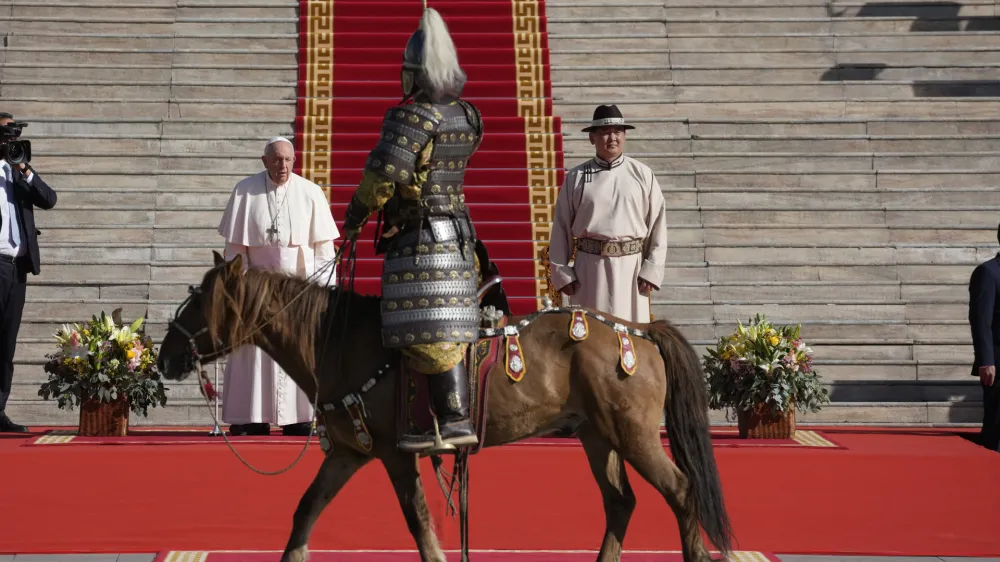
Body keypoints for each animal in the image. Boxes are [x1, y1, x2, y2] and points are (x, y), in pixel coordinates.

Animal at [156, 252, 736, 560]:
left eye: (198, 302)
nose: (166, 354)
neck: (340, 340)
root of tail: (638, 329)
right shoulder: (347, 453)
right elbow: (305, 511)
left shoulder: (395, 454)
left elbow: (418, 521)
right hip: (597, 435)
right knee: (620, 503)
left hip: (632, 434)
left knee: (681, 492)